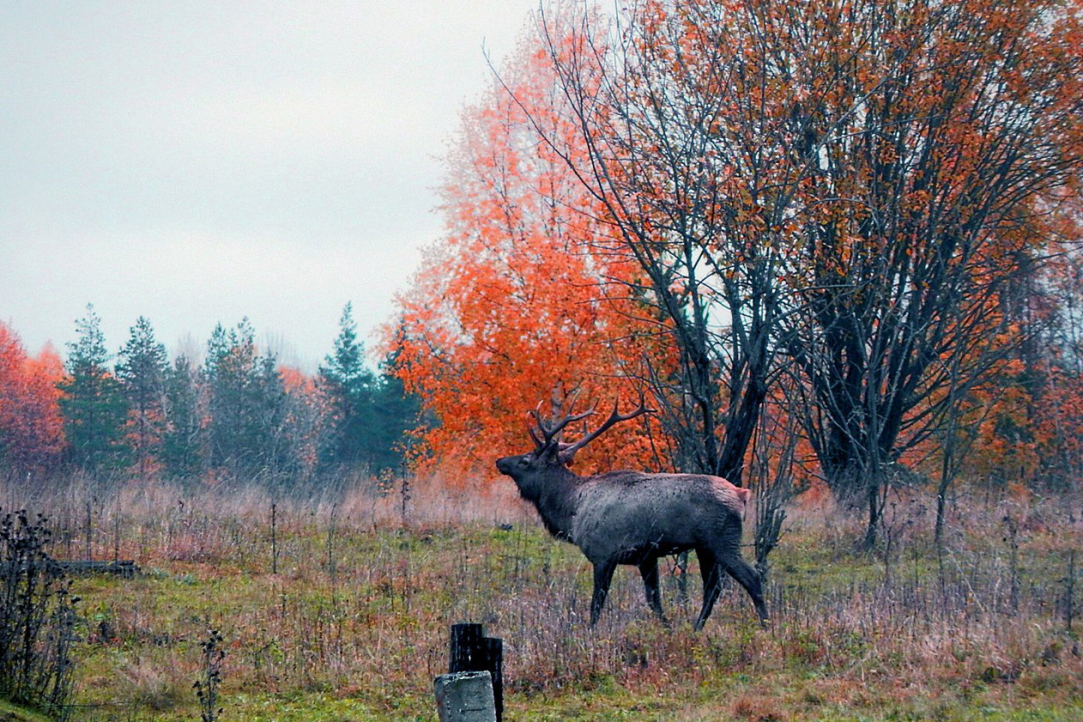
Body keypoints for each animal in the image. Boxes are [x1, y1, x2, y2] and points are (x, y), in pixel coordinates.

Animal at [496, 404, 766, 627]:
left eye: (525, 460)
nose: (500, 461)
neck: (571, 511)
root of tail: (742, 494)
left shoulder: (603, 554)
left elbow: (596, 604)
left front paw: (589, 633)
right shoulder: (646, 557)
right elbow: (654, 601)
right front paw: (667, 629)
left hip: (722, 540)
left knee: (751, 578)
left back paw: (766, 626)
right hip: (704, 547)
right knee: (713, 589)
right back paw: (697, 628)